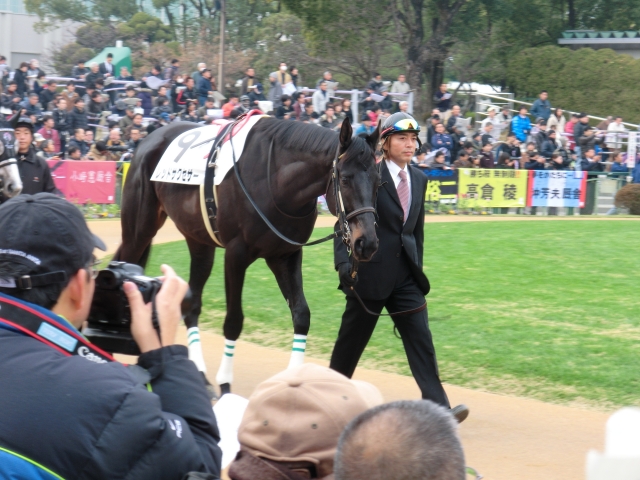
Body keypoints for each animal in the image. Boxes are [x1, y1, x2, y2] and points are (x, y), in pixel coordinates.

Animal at [115, 117, 381, 395]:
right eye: (346, 179)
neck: (274, 179)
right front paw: (225, 384)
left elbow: (301, 315)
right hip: (139, 230)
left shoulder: (285, 254)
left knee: (192, 302)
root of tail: (147, 139)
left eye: (379, 181)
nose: (367, 243)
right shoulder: (235, 255)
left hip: (198, 241)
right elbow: (234, 321)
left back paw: (197, 372)